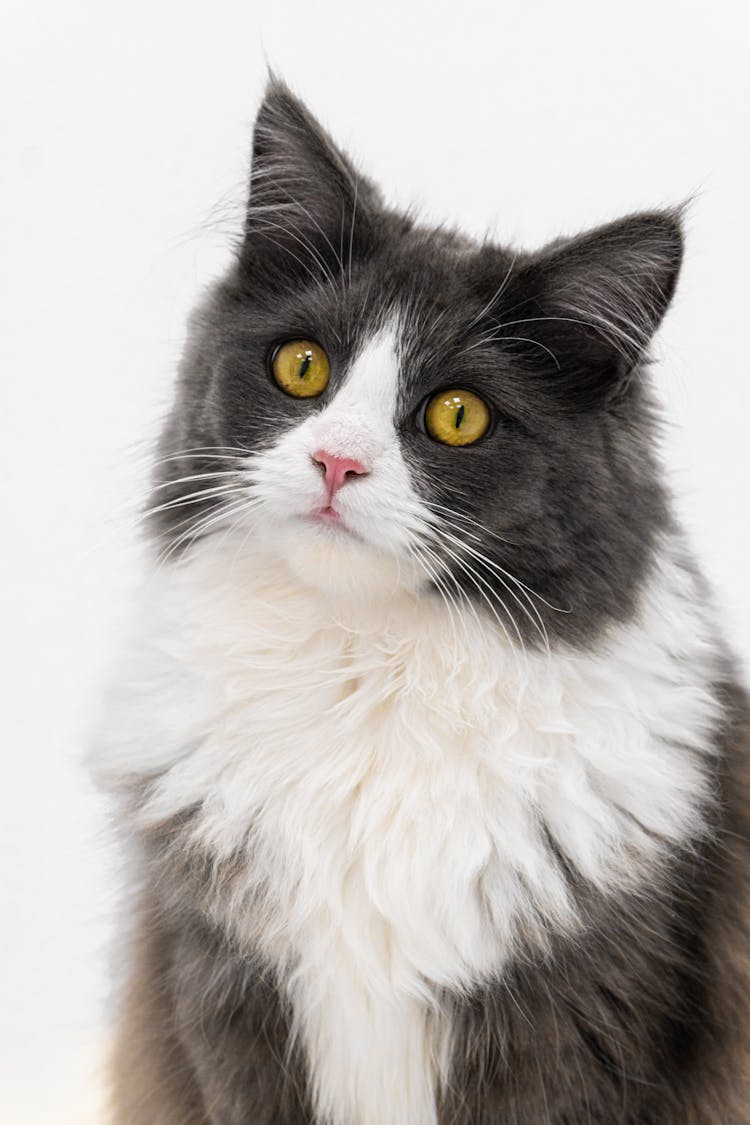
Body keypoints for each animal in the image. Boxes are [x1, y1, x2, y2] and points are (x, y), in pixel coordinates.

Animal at [93, 79, 750, 1125]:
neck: (367, 668)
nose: (337, 461)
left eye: (458, 415)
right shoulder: (226, 995)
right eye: (303, 367)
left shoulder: (576, 1021)